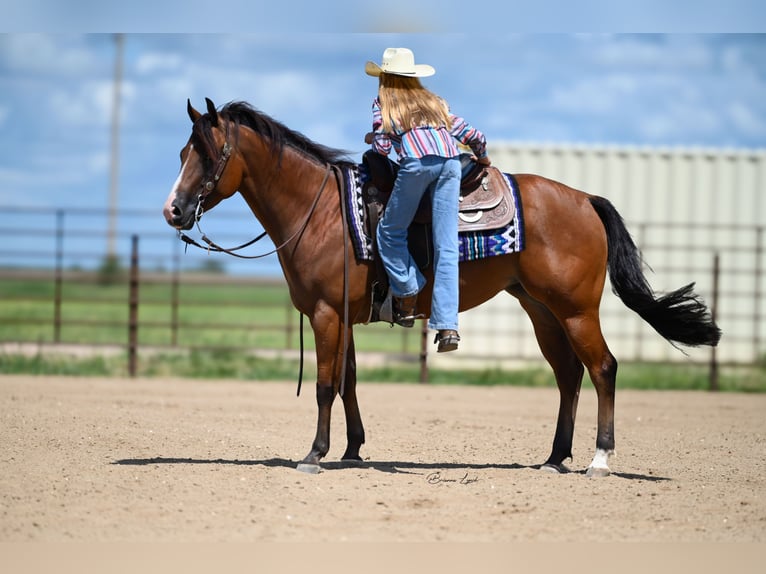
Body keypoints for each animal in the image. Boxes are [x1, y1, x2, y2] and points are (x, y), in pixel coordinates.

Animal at [164, 98, 728, 476]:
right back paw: (553, 457)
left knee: (603, 369)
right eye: (181, 151)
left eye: (209, 153)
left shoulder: (326, 314)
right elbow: (348, 382)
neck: (321, 211)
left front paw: (314, 455)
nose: (173, 210)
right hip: (542, 310)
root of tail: (585, 198)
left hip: (576, 310)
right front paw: (352, 449)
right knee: (569, 375)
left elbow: (324, 386)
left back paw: (599, 459)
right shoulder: (344, 317)